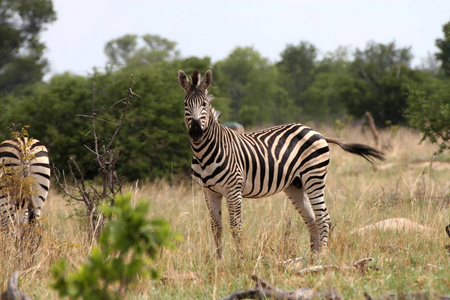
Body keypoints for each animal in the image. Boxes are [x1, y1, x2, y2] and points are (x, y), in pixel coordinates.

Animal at [178, 69, 384, 256]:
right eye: (185, 104)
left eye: (204, 104)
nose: (196, 132)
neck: (204, 153)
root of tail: (317, 132)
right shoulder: (209, 191)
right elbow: (216, 228)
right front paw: (219, 262)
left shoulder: (233, 189)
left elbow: (236, 227)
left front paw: (239, 262)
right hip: (295, 185)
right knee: (311, 220)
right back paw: (312, 259)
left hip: (314, 177)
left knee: (323, 218)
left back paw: (322, 258)